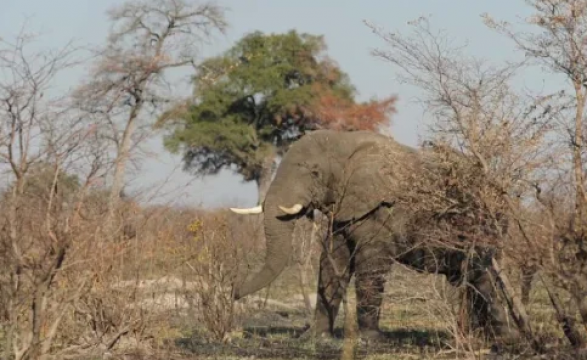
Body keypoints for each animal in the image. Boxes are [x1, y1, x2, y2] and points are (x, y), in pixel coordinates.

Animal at [230, 129, 520, 344]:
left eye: (314, 172)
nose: (233, 291)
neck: (346, 142)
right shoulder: (344, 209)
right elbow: (332, 262)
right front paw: (315, 337)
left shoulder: (382, 211)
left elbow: (371, 263)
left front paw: (370, 340)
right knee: (473, 277)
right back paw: (481, 337)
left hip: (485, 226)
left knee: (481, 275)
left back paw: (502, 339)